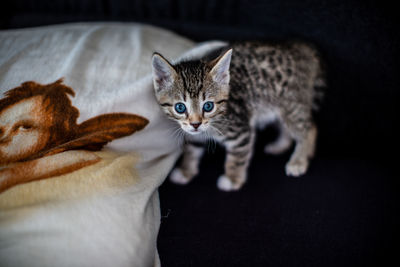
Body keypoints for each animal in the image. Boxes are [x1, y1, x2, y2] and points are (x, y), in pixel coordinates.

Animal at [152, 42, 324, 192]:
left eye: (208, 106)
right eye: (180, 107)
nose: (195, 124)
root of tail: (299, 47)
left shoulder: (240, 131)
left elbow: (237, 158)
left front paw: (232, 179)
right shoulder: (194, 135)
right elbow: (192, 149)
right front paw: (186, 170)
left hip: (291, 105)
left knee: (309, 128)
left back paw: (300, 159)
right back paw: (281, 145)